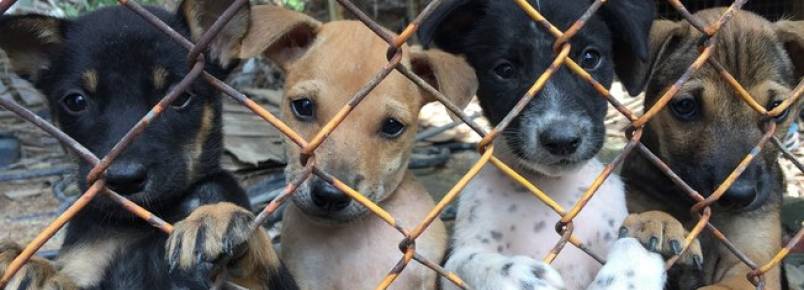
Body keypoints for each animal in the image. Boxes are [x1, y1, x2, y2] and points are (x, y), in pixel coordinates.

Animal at [0, 1, 296, 288]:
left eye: (180, 98)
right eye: (75, 101)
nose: (125, 180)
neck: (142, 220)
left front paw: (216, 215)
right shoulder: (84, 265)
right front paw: (30, 265)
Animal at [420, 0, 660, 290]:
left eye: (590, 58)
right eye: (504, 70)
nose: (562, 140)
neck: (549, 188)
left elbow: (629, 247)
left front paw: (636, 266)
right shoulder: (457, 255)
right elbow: (466, 261)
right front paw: (519, 277)